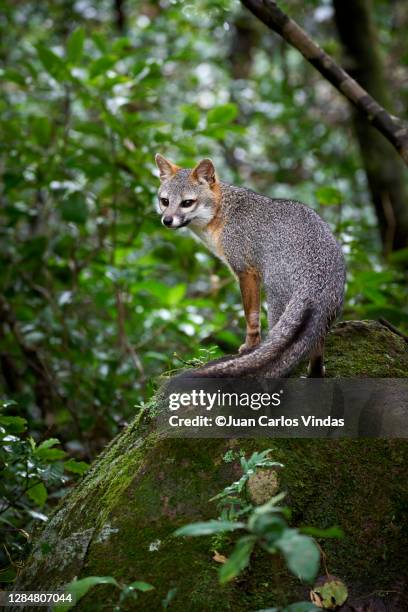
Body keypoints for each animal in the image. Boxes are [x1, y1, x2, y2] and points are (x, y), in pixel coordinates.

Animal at [155, 155, 346, 376]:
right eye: (165, 201)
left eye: (187, 203)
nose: (167, 220)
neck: (224, 213)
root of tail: (318, 280)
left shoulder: (245, 271)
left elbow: (250, 316)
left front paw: (250, 347)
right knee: (315, 350)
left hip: (275, 303)